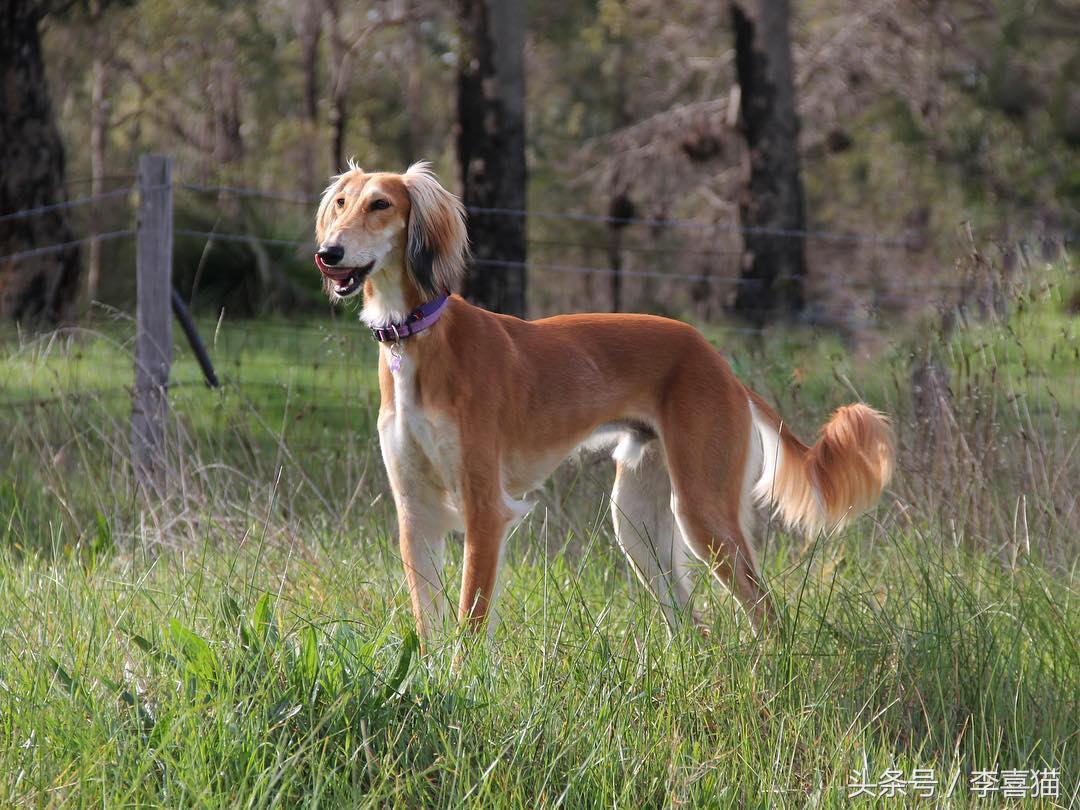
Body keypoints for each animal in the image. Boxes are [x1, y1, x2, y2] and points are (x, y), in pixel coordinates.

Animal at [315, 163, 894, 648]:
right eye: (341, 202)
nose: (328, 254)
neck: (418, 338)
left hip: (704, 513)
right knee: (693, 623)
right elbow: (427, 622)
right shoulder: (416, 510)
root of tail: (719, 363)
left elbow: (470, 620)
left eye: (380, 204)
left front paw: (465, 682)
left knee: (766, 613)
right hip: (636, 520)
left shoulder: (484, 509)